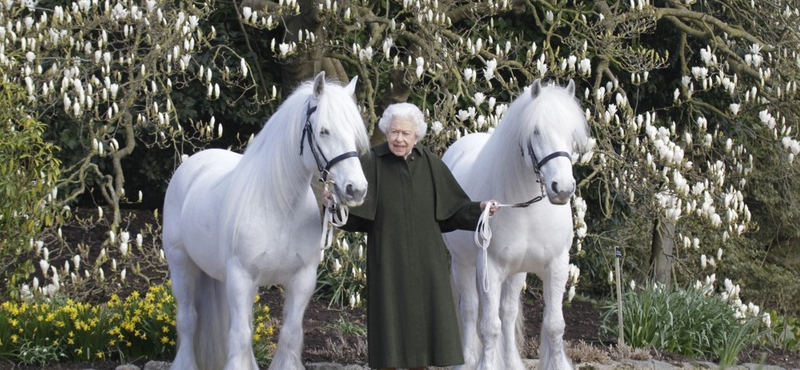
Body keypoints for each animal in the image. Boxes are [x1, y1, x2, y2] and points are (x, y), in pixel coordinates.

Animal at [162, 72, 368, 370]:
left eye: (353, 133)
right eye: (324, 131)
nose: (357, 189)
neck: (280, 207)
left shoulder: (302, 280)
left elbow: (289, 333)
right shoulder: (241, 277)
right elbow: (239, 335)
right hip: (181, 264)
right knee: (188, 319)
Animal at [440, 79, 592, 370]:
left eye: (571, 132)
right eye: (536, 131)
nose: (562, 188)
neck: (527, 209)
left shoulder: (556, 265)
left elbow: (554, 325)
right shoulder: (489, 268)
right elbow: (489, 326)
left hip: (516, 272)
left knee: (508, 314)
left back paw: (511, 362)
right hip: (462, 264)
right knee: (470, 310)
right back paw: (468, 360)